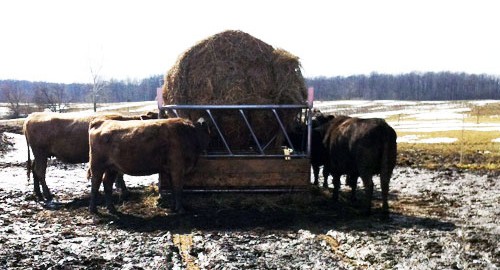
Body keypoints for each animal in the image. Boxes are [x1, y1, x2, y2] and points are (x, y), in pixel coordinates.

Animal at [22, 110, 156, 201]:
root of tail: (31, 116)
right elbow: (120, 174)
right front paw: (124, 191)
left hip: (39, 154)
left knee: (34, 170)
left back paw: (38, 193)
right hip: (40, 152)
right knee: (40, 171)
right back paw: (47, 194)